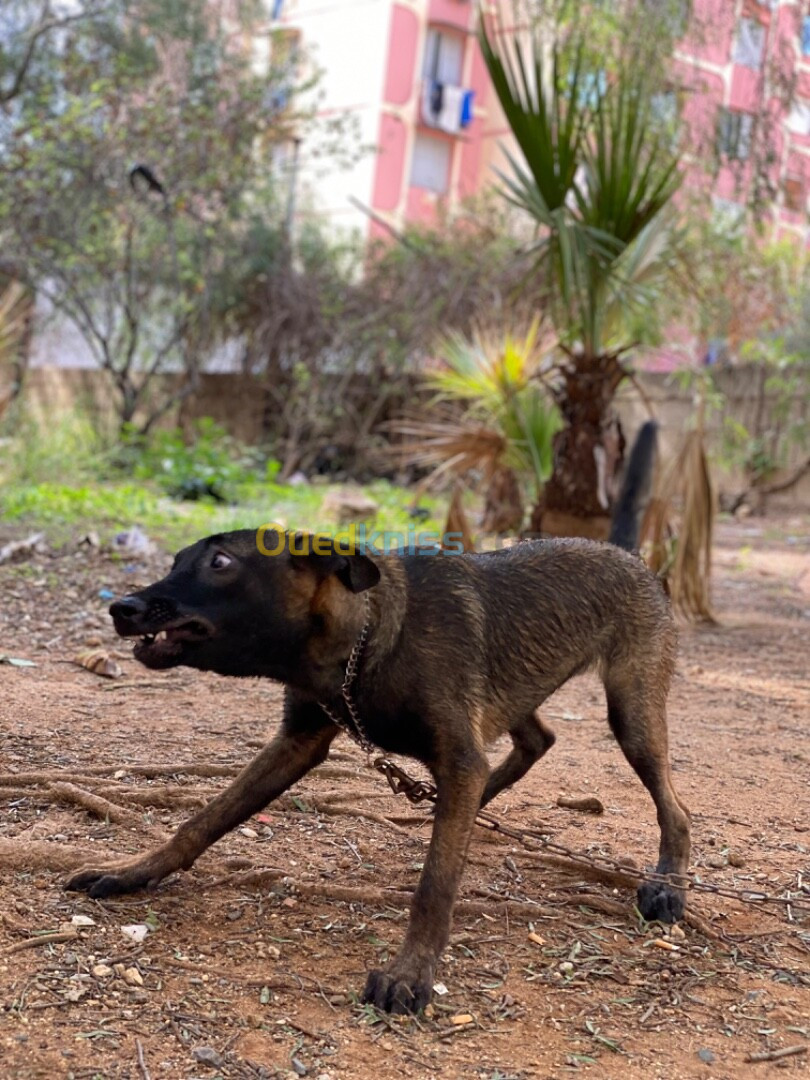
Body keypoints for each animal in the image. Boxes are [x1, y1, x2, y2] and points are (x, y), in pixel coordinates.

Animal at [66, 535, 695, 1015]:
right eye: (176, 559)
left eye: (220, 562)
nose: (121, 608)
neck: (362, 643)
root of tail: (629, 555)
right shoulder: (297, 742)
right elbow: (201, 822)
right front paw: (135, 870)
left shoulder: (456, 755)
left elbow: (435, 885)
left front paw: (411, 972)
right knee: (534, 742)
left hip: (632, 715)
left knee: (677, 809)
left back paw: (667, 885)